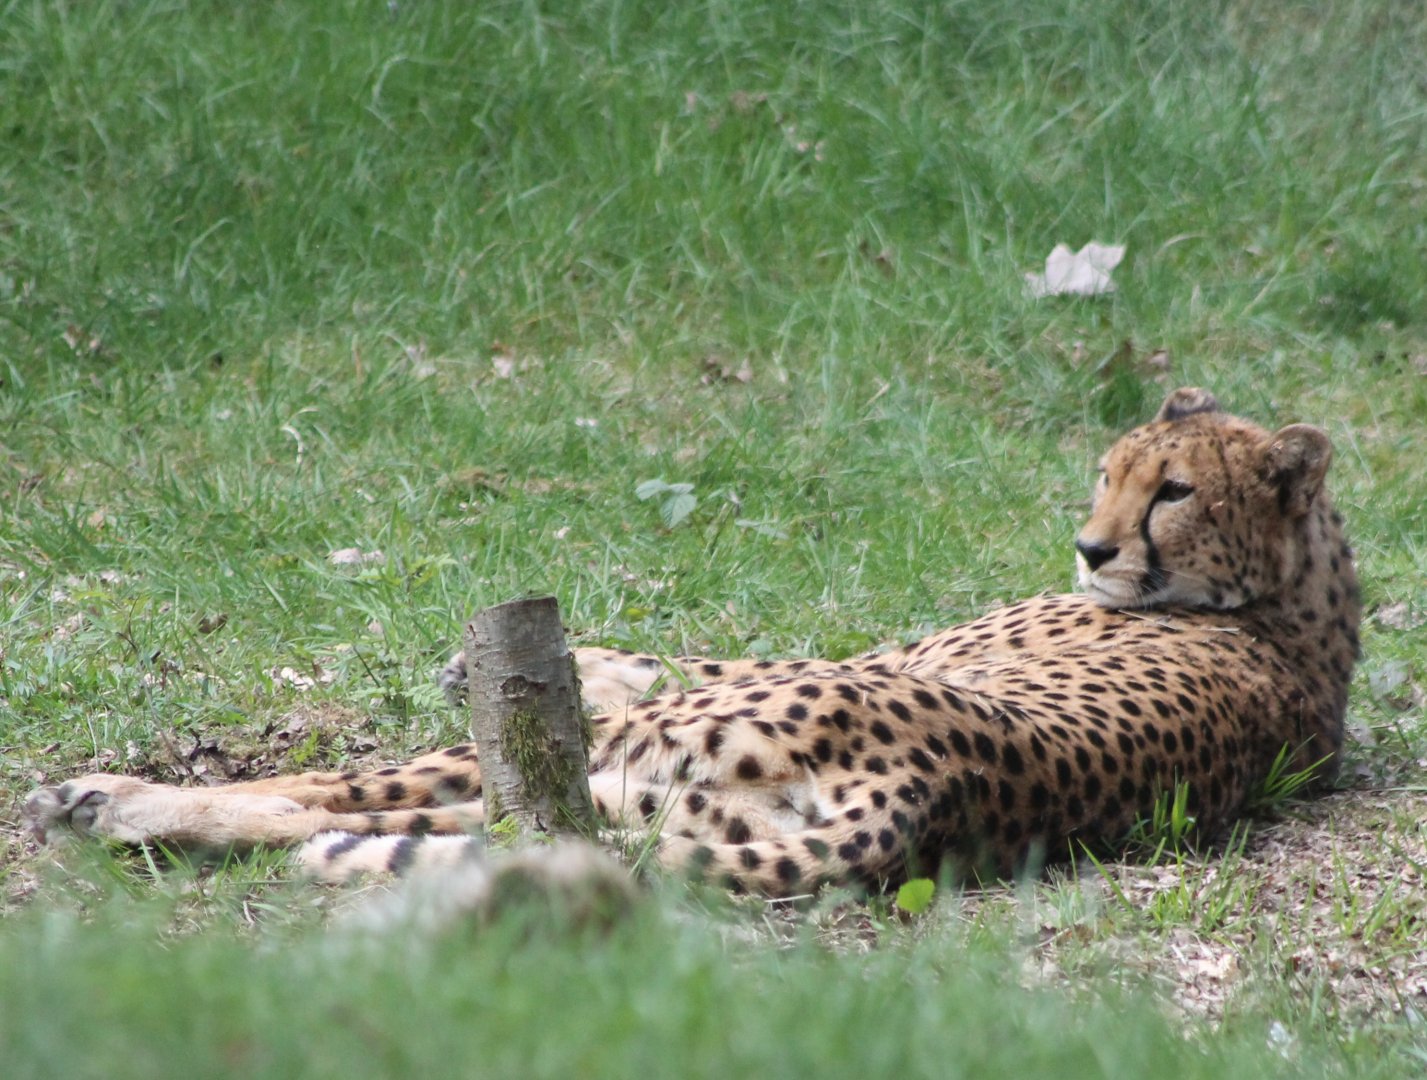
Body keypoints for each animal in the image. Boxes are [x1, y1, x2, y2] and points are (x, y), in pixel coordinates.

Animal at [23, 388, 1361, 897]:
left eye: (1171, 490)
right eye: (1107, 471)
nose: (1088, 549)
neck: (1288, 595)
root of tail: (935, 792)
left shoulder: (867, 659)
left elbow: (708, 649)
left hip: (641, 755)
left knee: (333, 792)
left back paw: (112, 799)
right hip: (642, 797)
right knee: (506, 830)